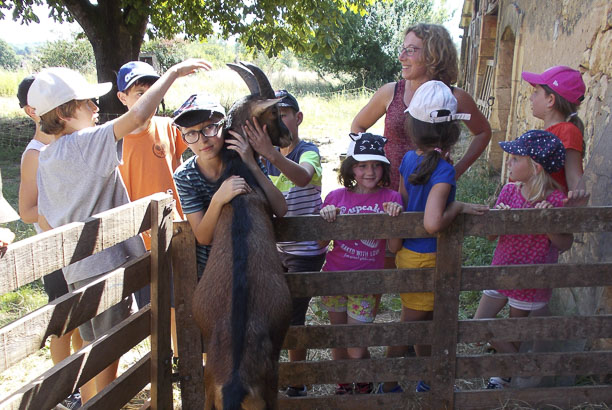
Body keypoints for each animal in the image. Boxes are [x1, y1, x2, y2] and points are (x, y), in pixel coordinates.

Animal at [192, 61, 296, 410]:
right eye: (275, 112)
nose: (287, 136)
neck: (239, 172)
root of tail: (235, 382)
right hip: (270, 387)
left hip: (209, 391)